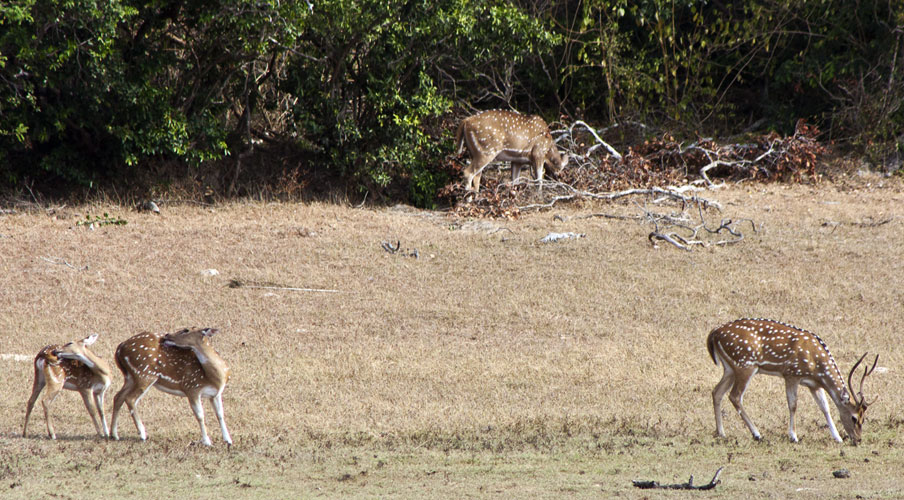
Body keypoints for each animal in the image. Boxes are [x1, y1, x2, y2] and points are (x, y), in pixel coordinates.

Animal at [708, 318, 876, 444]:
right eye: (854, 418)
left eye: (864, 418)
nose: (858, 439)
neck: (816, 366)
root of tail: (713, 333)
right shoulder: (791, 374)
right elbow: (793, 405)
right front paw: (793, 436)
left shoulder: (814, 385)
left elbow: (825, 407)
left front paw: (838, 437)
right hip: (745, 364)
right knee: (735, 396)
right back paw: (757, 434)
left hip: (729, 368)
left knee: (717, 392)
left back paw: (721, 433)